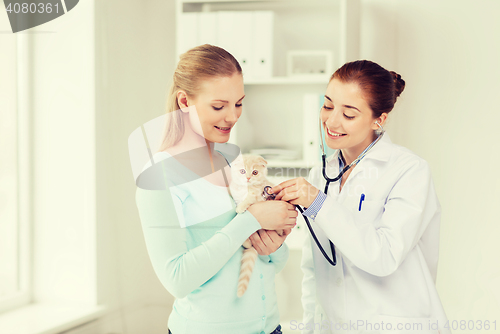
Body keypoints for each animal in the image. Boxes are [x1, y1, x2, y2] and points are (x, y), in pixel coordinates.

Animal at [229, 154, 282, 298]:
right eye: (242, 171)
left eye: (255, 172)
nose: (248, 178)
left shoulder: (258, 197)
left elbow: (248, 200)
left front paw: (241, 208)